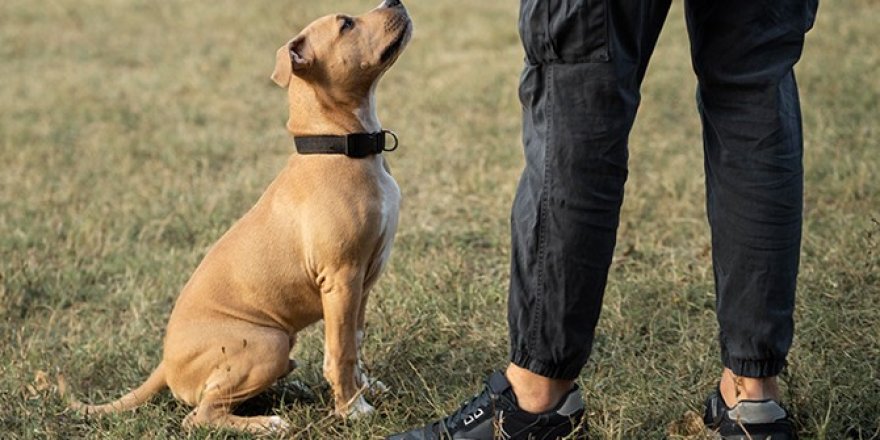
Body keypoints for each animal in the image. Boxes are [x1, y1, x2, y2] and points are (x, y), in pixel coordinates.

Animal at [62, 0, 412, 434]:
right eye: (346, 24)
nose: (393, 1)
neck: (340, 146)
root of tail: (164, 364)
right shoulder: (342, 278)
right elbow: (340, 350)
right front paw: (352, 408)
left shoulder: (361, 283)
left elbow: (356, 339)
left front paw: (365, 389)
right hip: (266, 342)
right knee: (200, 416)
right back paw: (268, 423)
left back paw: (291, 388)